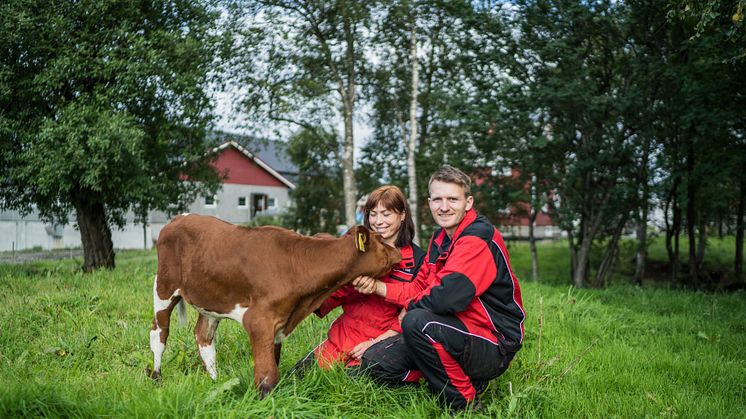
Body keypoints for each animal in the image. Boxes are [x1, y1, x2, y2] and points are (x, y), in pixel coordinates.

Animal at [147, 215, 402, 398]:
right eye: (381, 241)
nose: (399, 251)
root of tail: (178, 219)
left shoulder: (280, 322)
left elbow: (274, 366)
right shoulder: (259, 320)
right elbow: (267, 375)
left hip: (211, 299)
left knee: (204, 337)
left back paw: (215, 382)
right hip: (164, 287)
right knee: (159, 332)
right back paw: (156, 377)